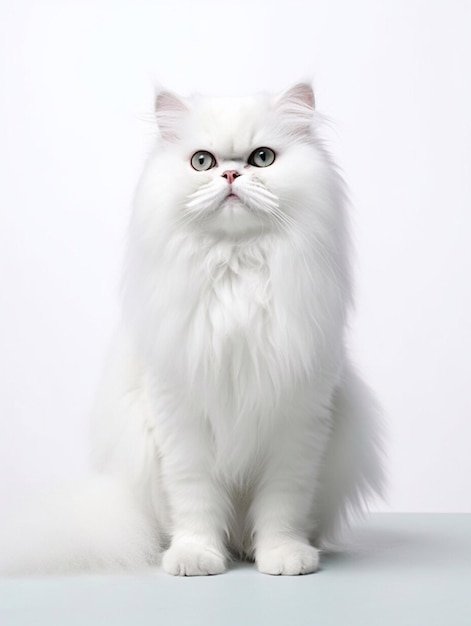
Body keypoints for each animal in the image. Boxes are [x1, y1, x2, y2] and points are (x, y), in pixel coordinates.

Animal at [0, 83, 384, 576]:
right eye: (202, 161)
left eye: (262, 158)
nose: (230, 175)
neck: (236, 270)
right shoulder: (181, 420)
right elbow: (195, 502)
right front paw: (196, 558)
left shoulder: (296, 423)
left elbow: (282, 507)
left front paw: (283, 557)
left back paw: (252, 550)